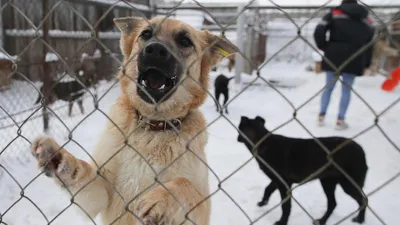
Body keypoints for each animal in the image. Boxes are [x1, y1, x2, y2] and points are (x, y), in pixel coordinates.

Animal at [32, 16, 238, 224]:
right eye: (146, 34)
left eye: (185, 41)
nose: (155, 50)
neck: (153, 126)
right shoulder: (102, 193)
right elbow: (83, 173)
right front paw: (59, 159)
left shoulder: (199, 208)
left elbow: (185, 184)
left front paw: (161, 198)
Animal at [238, 116, 368, 225]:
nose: (237, 138)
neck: (263, 143)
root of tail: (361, 151)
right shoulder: (278, 180)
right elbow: (267, 189)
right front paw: (263, 202)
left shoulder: (284, 185)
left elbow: (286, 206)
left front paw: (282, 222)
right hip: (328, 182)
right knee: (332, 203)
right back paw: (322, 221)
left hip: (347, 184)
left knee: (363, 200)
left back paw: (360, 219)